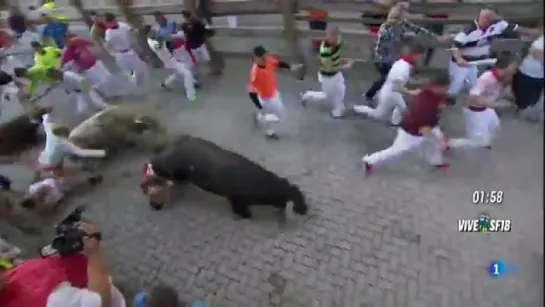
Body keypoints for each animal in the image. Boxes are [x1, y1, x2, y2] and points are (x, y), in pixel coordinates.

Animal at [142, 136, 308, 220]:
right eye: (297, 200)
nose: (305, 210)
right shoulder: (237, 199)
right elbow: (241, 210)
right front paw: (246, 215)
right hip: (168, 166)